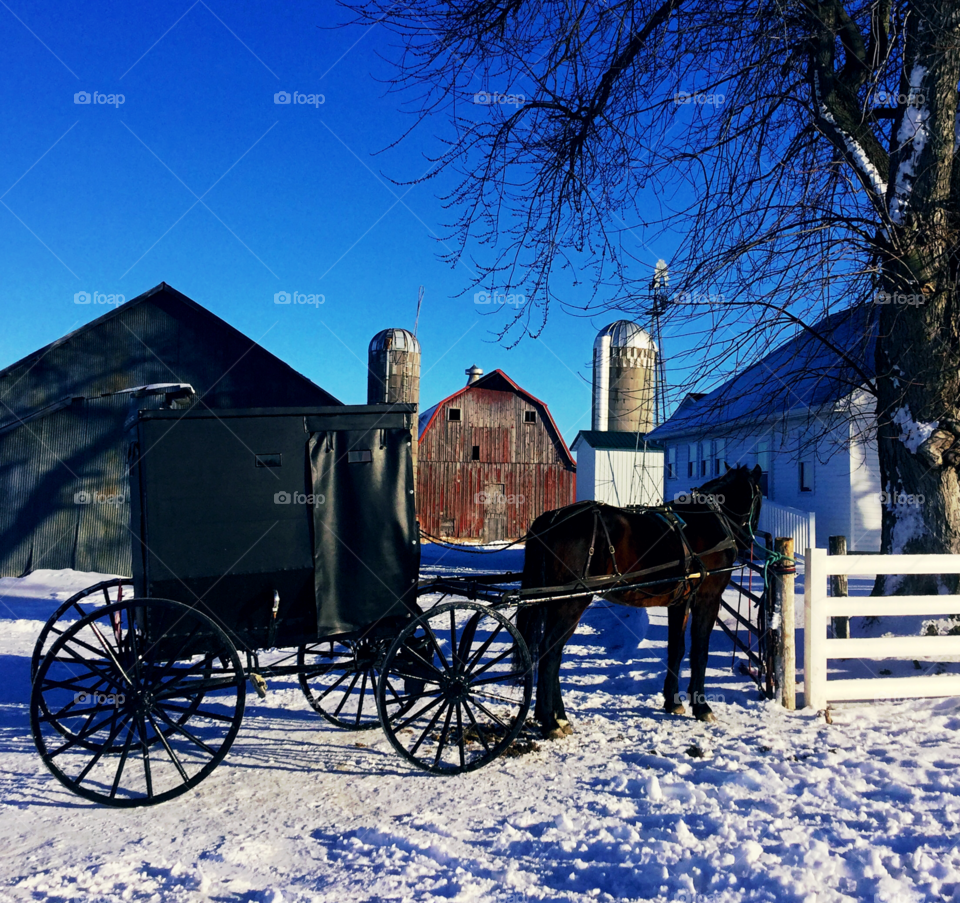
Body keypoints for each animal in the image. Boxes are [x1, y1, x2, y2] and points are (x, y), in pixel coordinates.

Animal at [520, 470, 760, 740]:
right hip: (571, 603)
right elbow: (700, 652)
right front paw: (701, 707)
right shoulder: (708, 599)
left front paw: (673, 701)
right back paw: (550, 722)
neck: (707, 521)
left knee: (553, 652)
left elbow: (676, 649)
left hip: (555, 602)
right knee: (550, 652)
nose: (748, 543)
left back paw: (558, 717)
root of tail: (554, 517)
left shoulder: (680, 602)